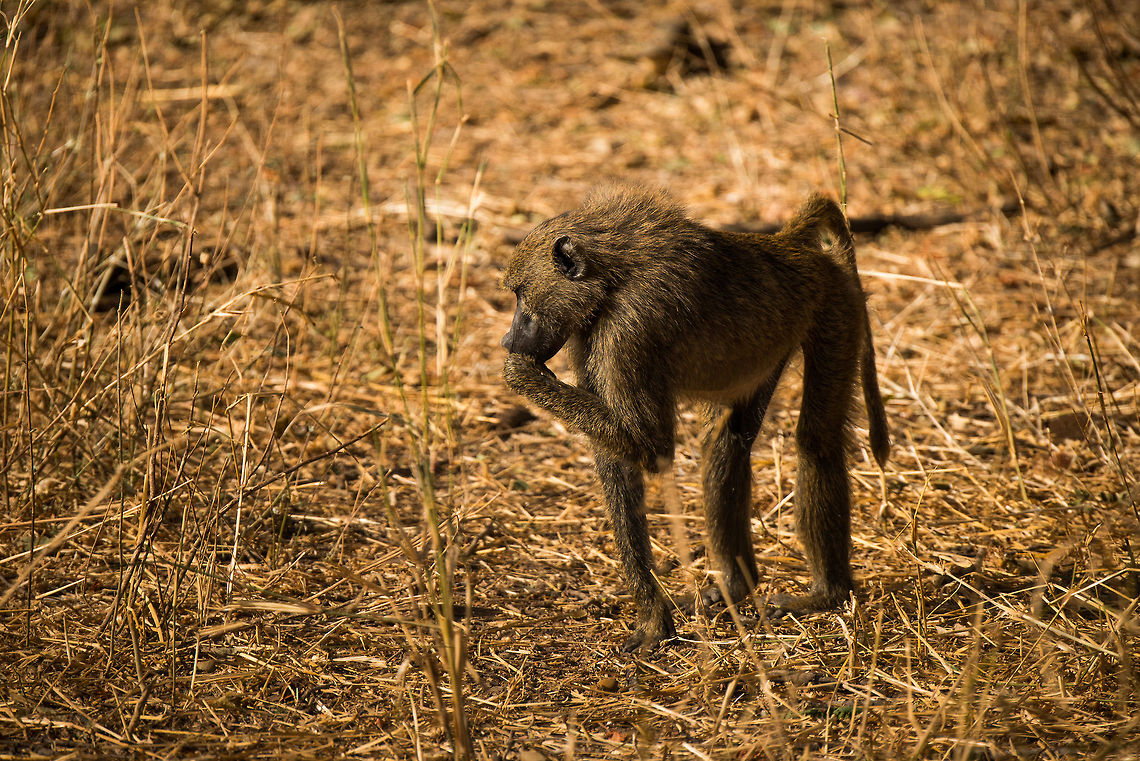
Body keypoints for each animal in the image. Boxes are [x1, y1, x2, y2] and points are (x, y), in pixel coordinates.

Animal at [500, 187, 889, 652]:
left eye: (520, 294)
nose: (508, 339)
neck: (612, 277)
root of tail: (788, 245)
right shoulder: (585, 333)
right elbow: (619, 459)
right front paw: (653, 615)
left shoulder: (629, 329)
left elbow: (650, 446)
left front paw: (521, 374)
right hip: (764, 350)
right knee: (727, 445)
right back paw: (735, 587)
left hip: (835, 306)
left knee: (817, 440)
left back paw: (827, 594)